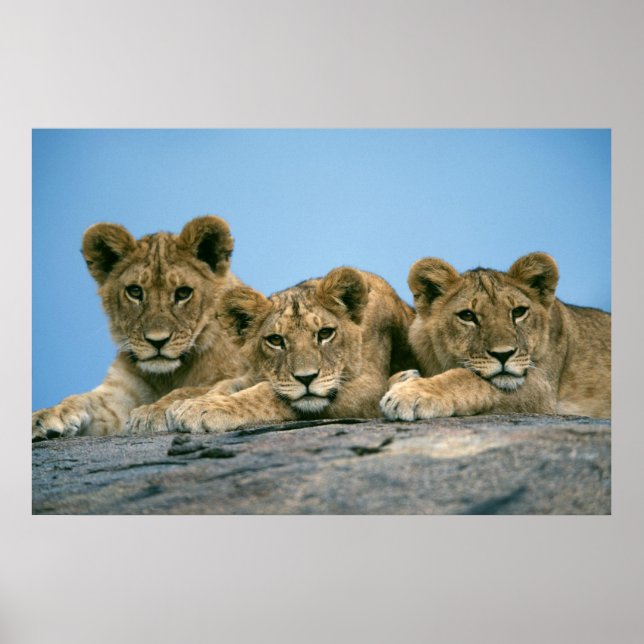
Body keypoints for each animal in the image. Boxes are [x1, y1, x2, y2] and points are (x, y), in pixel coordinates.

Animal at [32, 216, 249, 440]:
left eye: (183, 293)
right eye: (135, 291)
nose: (157, 341)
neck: (167, 376)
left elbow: (193, 389)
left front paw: (153, 410)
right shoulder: (119, 395)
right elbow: (82, 399)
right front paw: (46, 415)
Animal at [161, 267, 417, 433]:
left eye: (325, 333)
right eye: (275, 340)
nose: (306, 378)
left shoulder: (370, 386)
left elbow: (266, 394)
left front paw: (203, 408)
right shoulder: (254, 373)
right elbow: (226, 385)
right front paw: (188, 404)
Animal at [380, 252, 611, 421]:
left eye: (518, 312)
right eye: (467, 316)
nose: (504, 354)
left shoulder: (542, 389)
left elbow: (467, 379)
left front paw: (410, 393)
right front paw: (403, 378)